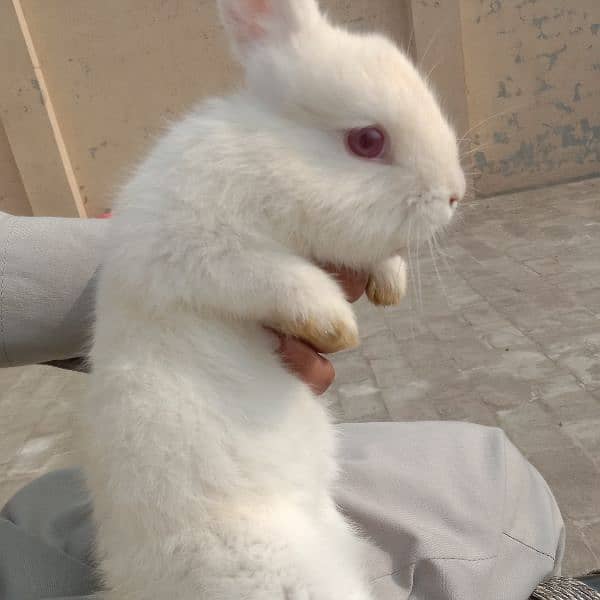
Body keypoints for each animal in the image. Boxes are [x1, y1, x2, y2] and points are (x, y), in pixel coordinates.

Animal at [78, 1, 464, 600]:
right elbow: (282, 278)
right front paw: (335, 323)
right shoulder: (199, 250)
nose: (455, 194)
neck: (269, 157)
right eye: (367, 141)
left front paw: (390, 282)